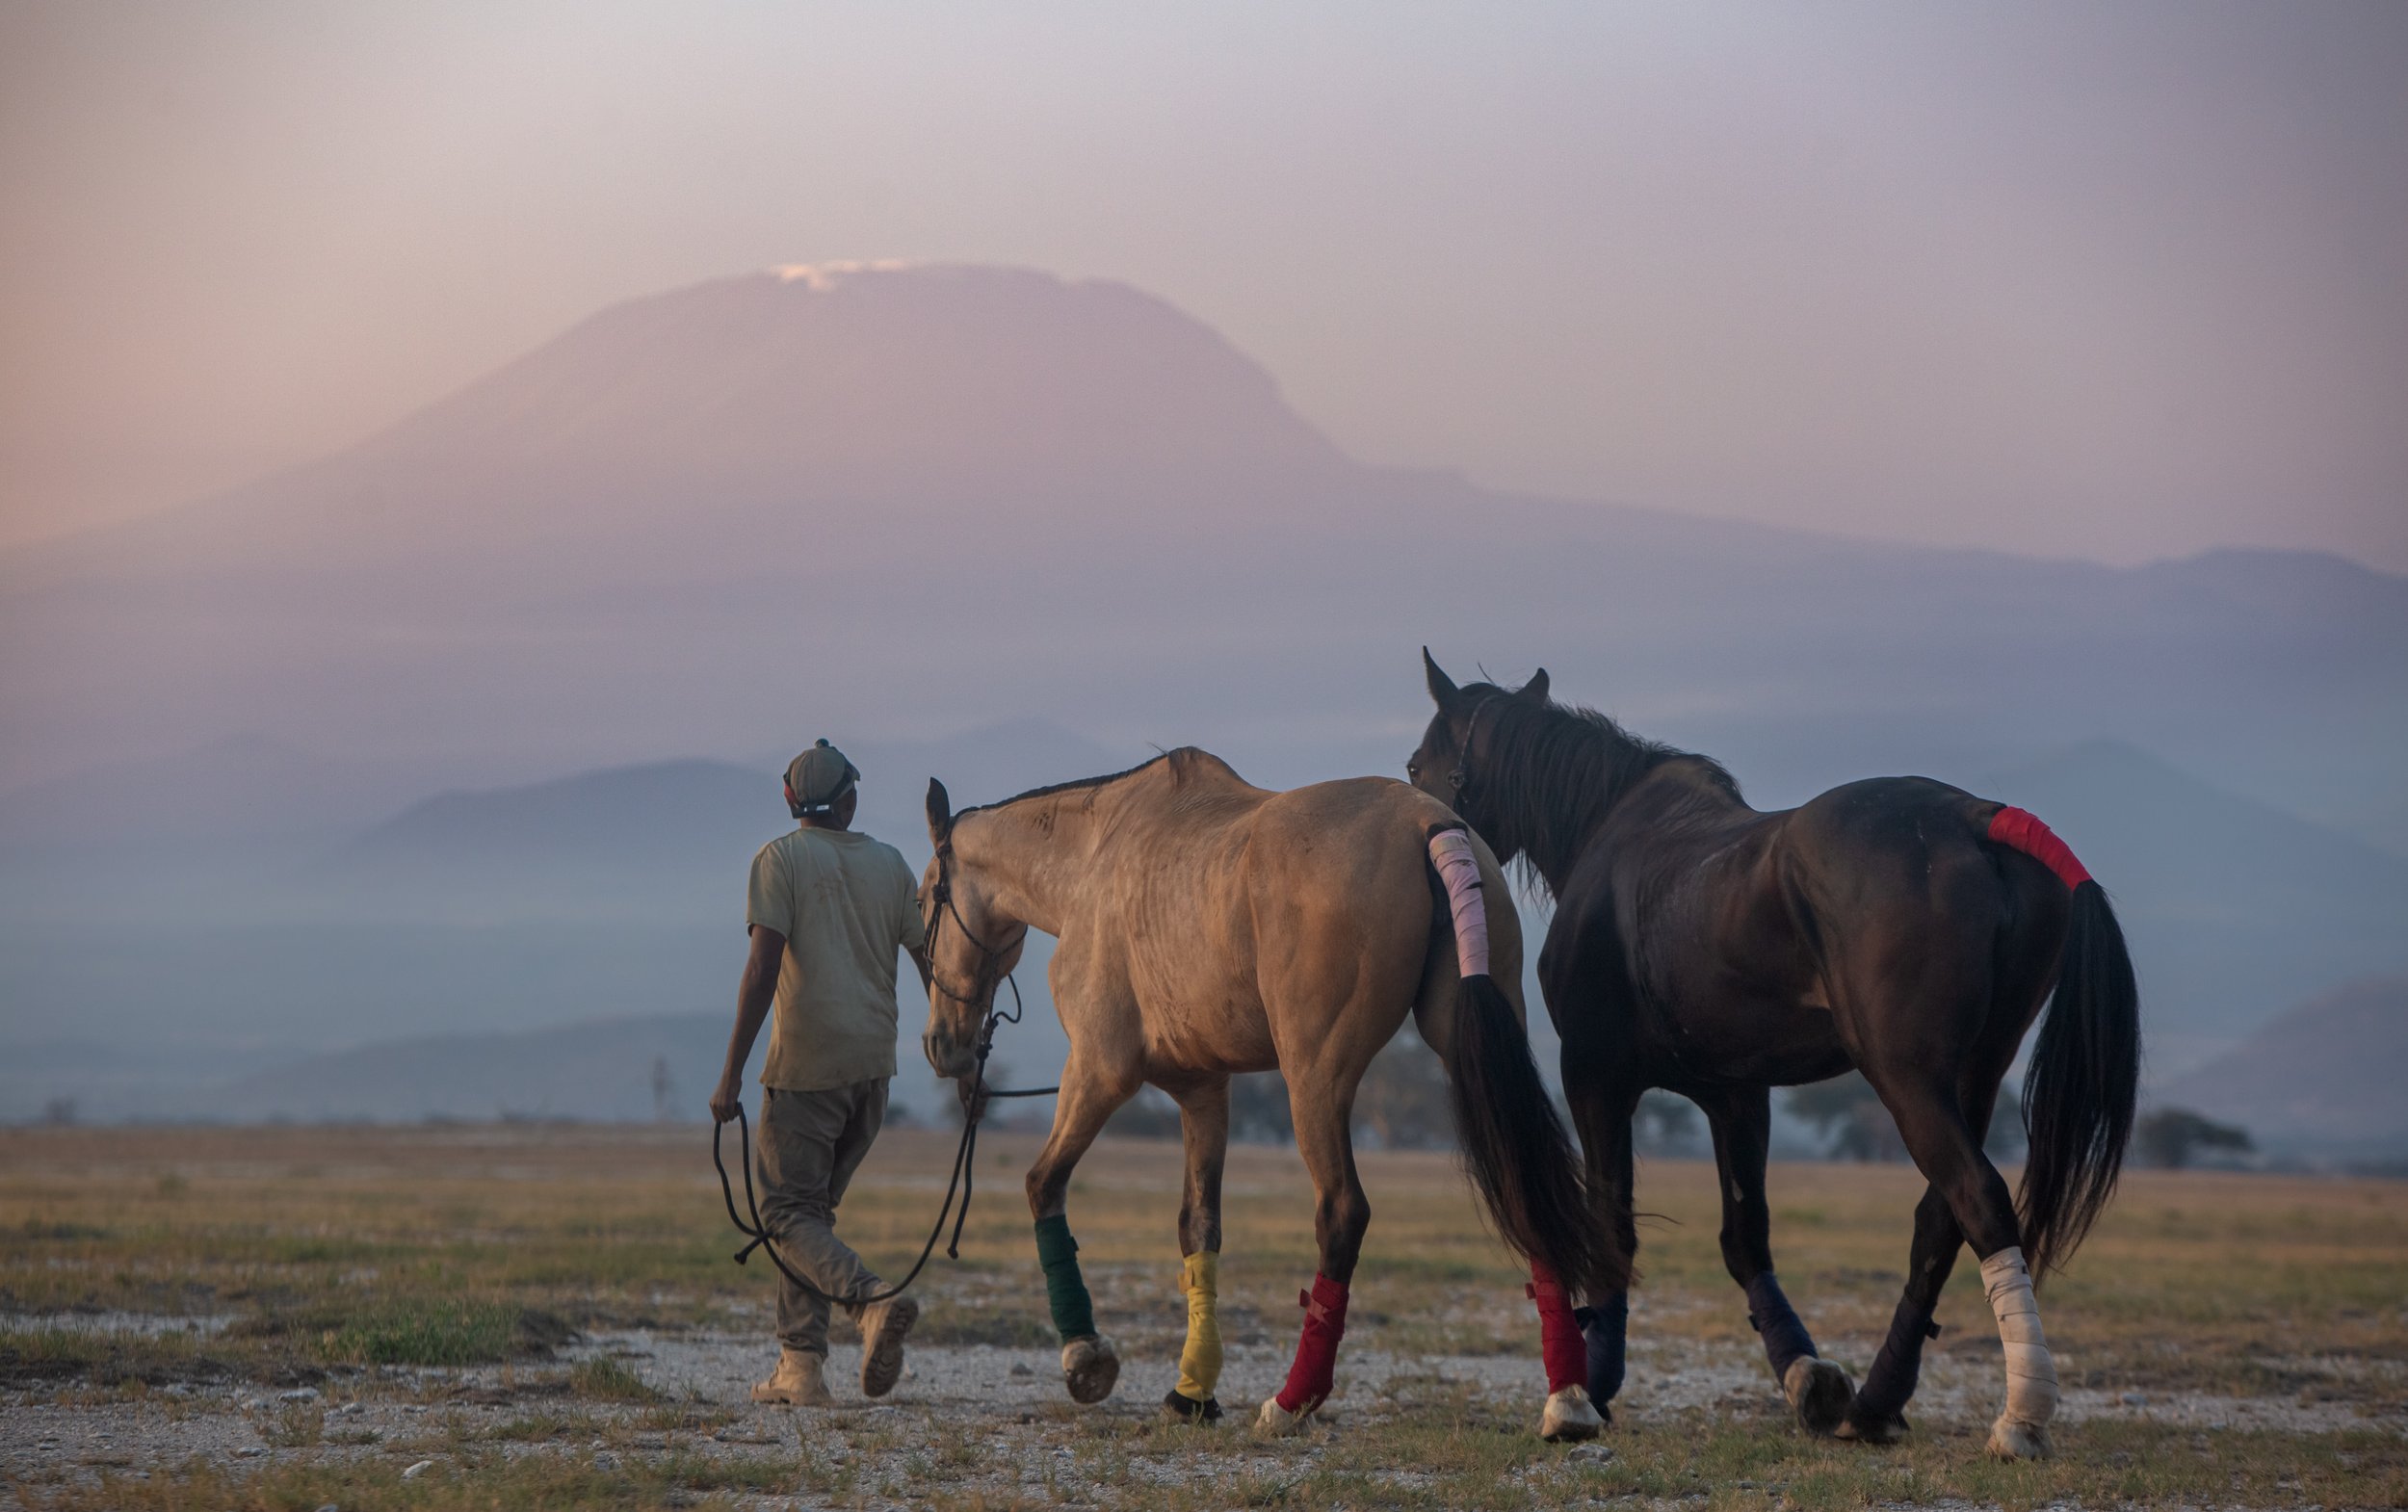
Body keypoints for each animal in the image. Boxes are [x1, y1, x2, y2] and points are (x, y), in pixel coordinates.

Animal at [915, 747, 1619, 1437]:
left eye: (924, 902)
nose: (941, 1045)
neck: (1095, 856)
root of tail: (1432, 826)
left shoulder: (1098, 1070)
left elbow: (1044, 1184)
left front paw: (1085, 1355)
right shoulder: (1202, 1090)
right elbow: (1198, 1228)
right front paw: (1192, 1392)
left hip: (1313, 1078)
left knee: (1343, 1211)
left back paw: (1292, 1400)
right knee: (1524, 1185)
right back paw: (1568, 1401)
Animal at [1408, 654, 2139, 1461]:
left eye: (1416, 766)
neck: (1610, 833)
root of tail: (1980, 819)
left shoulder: (1595, 1076)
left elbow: (1612, 1224)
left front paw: (1587, 1389)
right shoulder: (1736, 1093)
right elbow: (1743, 1236)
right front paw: (1807, 1376)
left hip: (1907, 1076)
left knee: (1977, 1197)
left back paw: (2021, 1416)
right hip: (1976, 1075)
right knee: (1939, 1219)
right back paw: (1876, 1402)